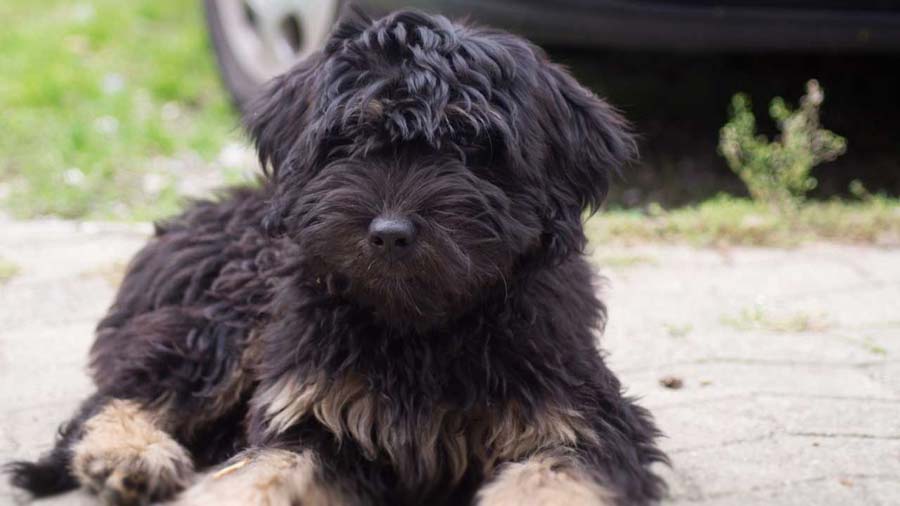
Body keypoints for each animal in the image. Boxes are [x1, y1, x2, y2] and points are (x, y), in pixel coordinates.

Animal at [8, 8, 668, 506]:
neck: (419, 331)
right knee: (127, 390)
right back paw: (129, 455)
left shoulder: (583, 420)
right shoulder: (313, 415)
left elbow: (549, 477)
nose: (390, 233)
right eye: (351, 139)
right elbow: (261, 471)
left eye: (470, 146)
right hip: (225, 318)